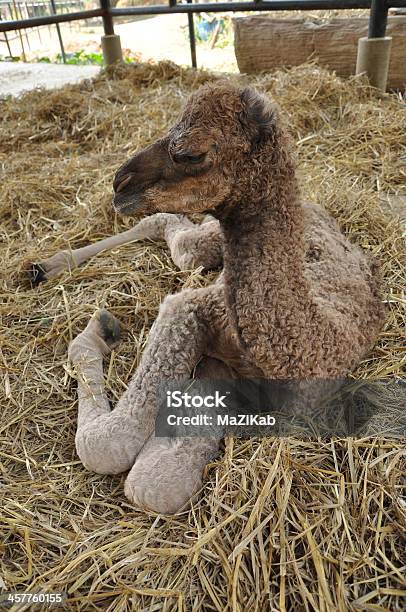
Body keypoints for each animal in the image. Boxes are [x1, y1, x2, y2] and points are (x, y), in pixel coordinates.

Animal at [31, 80, 384, 512]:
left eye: (191, 153)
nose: (120, 184)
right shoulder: (189, 310)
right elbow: (111, 444)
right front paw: (99, 328)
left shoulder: (239, 386)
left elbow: (154, 482)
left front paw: (101, 329)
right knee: (174, 236)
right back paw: (45, 268)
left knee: (176, 240)